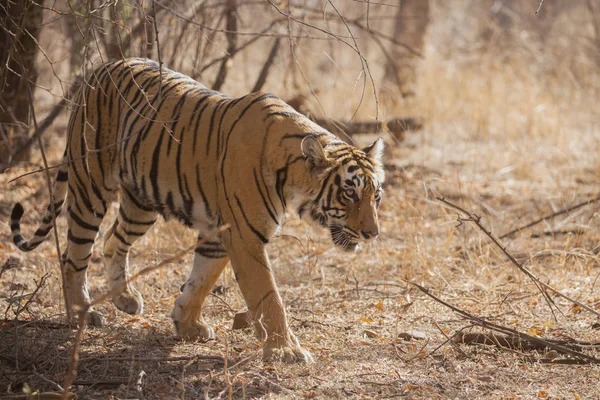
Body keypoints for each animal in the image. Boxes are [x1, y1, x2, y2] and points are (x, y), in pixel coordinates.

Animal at [9, 58, 384, 362]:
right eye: (349, 194)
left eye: (375, 196)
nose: (373, 233)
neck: (290, 175)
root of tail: (97, 70)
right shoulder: (245, 236)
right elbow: (267, 296)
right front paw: (286, 351)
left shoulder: (220, 231)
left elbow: (202, 279)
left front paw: (187, 325)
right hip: (91, 186)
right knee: (74, 256)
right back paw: (79, 314)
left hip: (141, 201)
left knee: (114, 240)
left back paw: (126, 299)